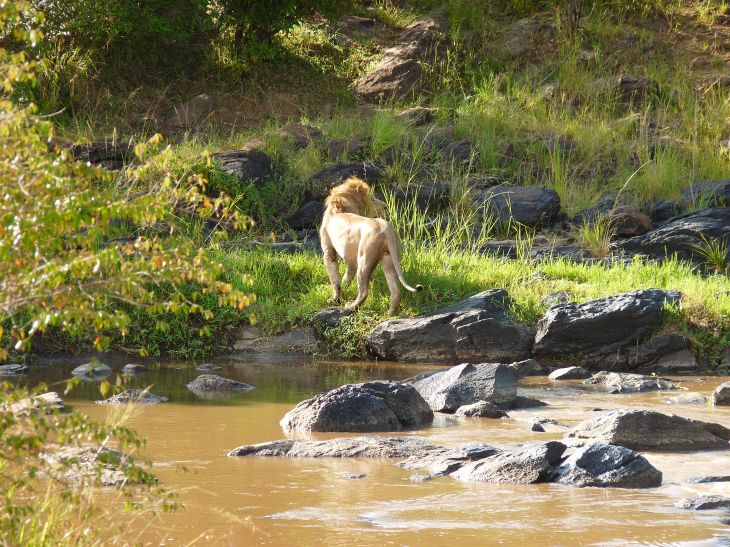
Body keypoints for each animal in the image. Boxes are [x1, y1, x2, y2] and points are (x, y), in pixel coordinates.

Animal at [319, 177, 422, 316]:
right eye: (372, 199)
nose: (385, 206)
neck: (341, 206)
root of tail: (386, 229)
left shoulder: (329, 252)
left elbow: (335, 280)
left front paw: (336, 299)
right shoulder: (350, 258)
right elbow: (346, 276)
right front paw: (345, 287)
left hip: (364, 259)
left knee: (364, 292)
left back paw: (350, 307)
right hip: (388, 259)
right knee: (395, 290)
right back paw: (390, 313)